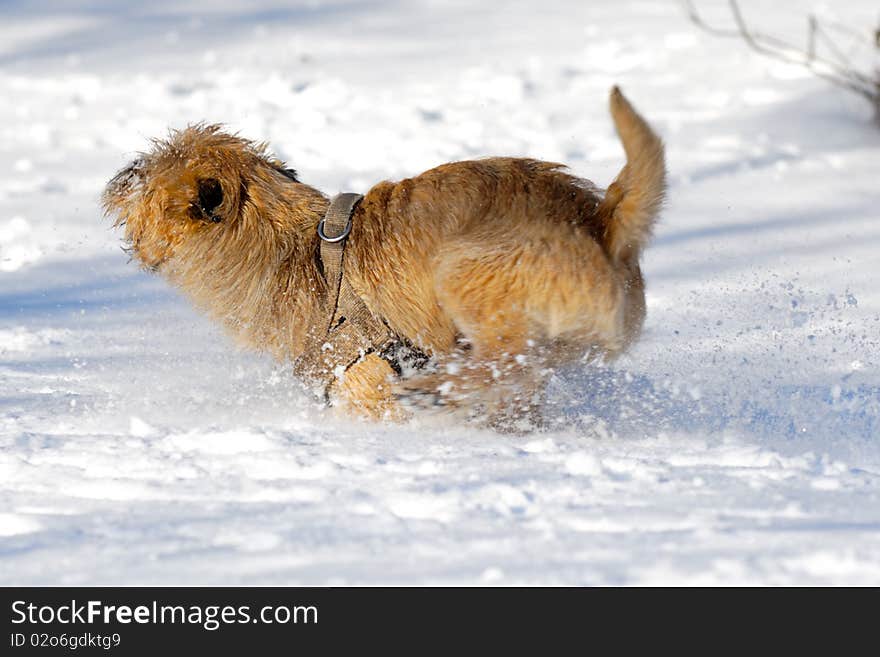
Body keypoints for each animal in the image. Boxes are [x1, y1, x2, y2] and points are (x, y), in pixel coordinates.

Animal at [103, 87, 664, 428]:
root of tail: (601, 221)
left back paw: (441, 385)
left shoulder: (363, 382)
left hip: (463, 269)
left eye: (149, 174)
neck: (294, 251)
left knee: (498, 357)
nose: (123, 170)